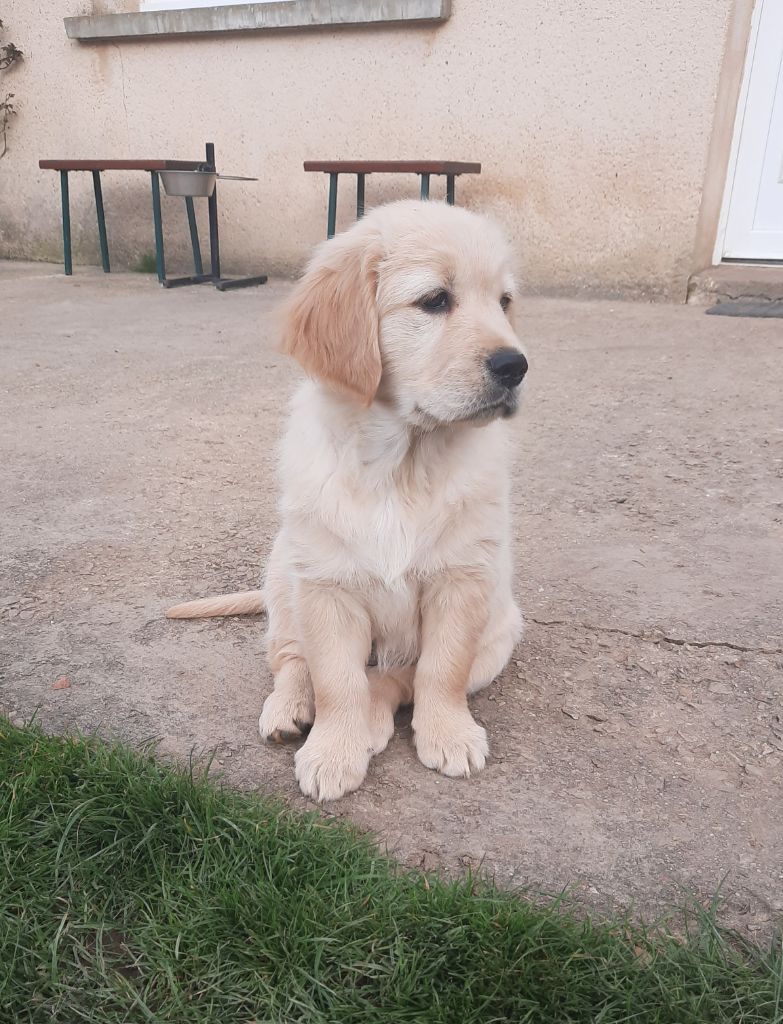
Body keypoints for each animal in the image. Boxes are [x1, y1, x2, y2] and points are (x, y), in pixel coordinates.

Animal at [167, 199, 528, 802]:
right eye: (435, 300)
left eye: (504, 303)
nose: (516, 366)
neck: (400, 464)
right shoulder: (326, 584)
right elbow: (335, 679)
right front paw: (334, 749)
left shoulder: (463, 579)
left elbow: (440, 670)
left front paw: (448, 733)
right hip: (284, 575)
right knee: (294, 659)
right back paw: (292, 709)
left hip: (500, 632)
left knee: (395, 678)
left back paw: (374, 723)